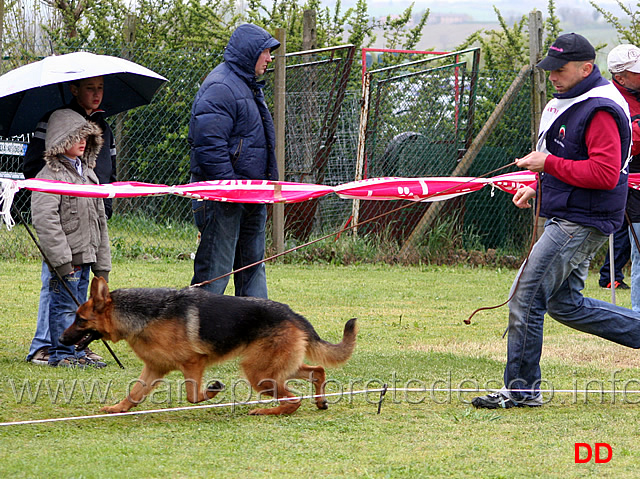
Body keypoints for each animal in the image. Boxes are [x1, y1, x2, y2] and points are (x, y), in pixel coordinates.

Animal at [60, 278, 358, 416]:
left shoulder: (194, 363)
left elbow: (193, 396)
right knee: (317, 371)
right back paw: (319, 401)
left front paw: (212, 391)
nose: (61, 341)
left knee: (294, 398)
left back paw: (265, 411)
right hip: (275, 368)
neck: (146, 314)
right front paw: (117, 409)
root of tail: (293, 315)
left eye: (80, 319)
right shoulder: (154, 370)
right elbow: (134, 394)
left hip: (259, 373)